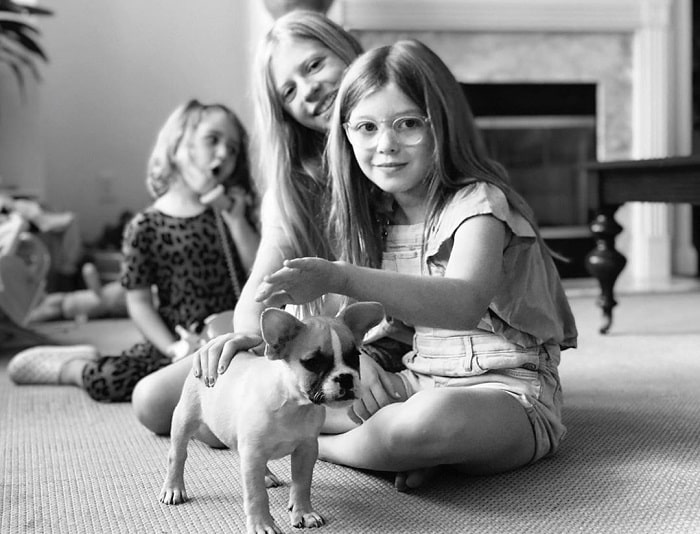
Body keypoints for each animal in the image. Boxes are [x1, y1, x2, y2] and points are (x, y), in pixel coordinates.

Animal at [159, 304, 382, 532]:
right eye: (313, 362)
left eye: (355, 356)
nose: (345, 377)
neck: (294, 404)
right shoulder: (253, 453)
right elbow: (256, 495)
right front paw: (261, 524)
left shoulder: (306, 449)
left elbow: (302, 484)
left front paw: (303, 512)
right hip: (185, 420)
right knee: (177, 456)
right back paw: (173, 488)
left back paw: (266, 475)